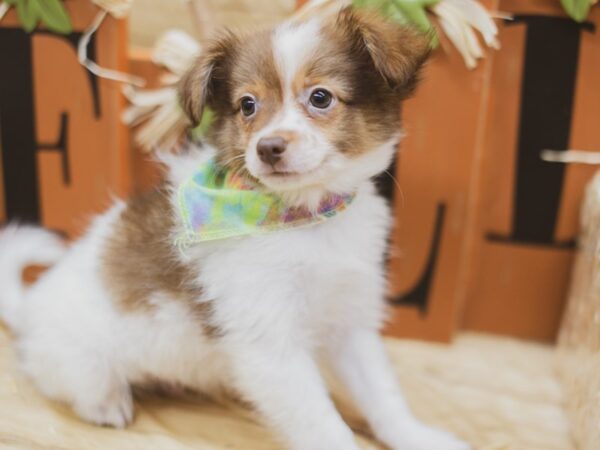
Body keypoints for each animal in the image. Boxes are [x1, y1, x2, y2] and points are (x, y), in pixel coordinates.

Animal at [0, 7, 468, 450]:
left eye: (320, 97)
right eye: (247, 105)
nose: (268, 147)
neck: (304, 220)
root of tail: (30, 307)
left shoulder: (349, 320)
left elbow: (384, 397)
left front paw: (418, 437)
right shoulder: (270, 345)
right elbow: (323, 425)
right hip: (81, 361)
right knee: (73, 383)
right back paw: (107, 403)